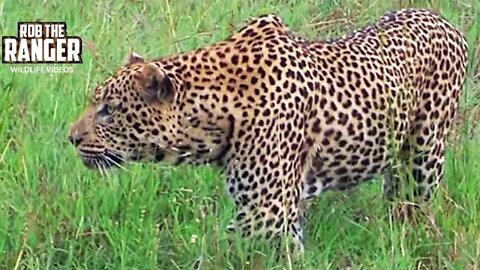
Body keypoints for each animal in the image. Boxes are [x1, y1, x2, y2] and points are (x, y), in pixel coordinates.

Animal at [68, 8, 468, 253]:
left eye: (108, 110)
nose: (71, 138)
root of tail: (442, 20)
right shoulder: (273, 212)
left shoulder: (265, 212)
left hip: (423, 158)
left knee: (415, 207)